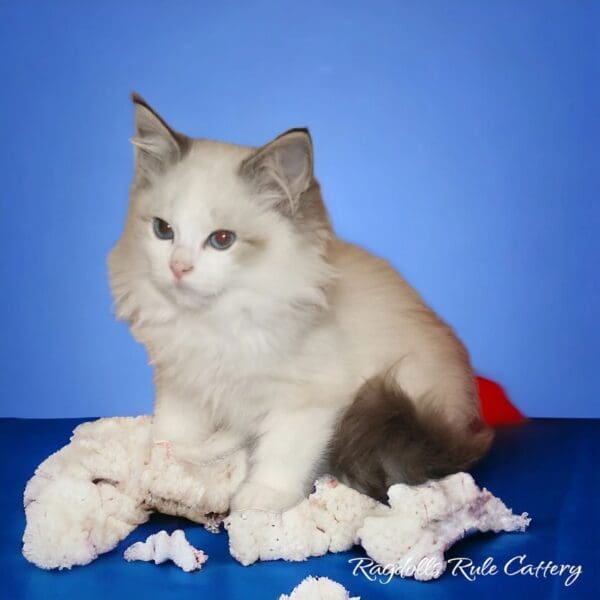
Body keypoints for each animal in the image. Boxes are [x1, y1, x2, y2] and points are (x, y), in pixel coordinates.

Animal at [108, 94, 492, 510]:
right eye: (163, 230)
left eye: (222, 239)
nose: (178, 267)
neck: (217, 320)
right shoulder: (182, 381)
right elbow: (172, 429)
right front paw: (164, 466)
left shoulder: (308, 398)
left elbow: (282, 452)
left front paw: (260, 498)